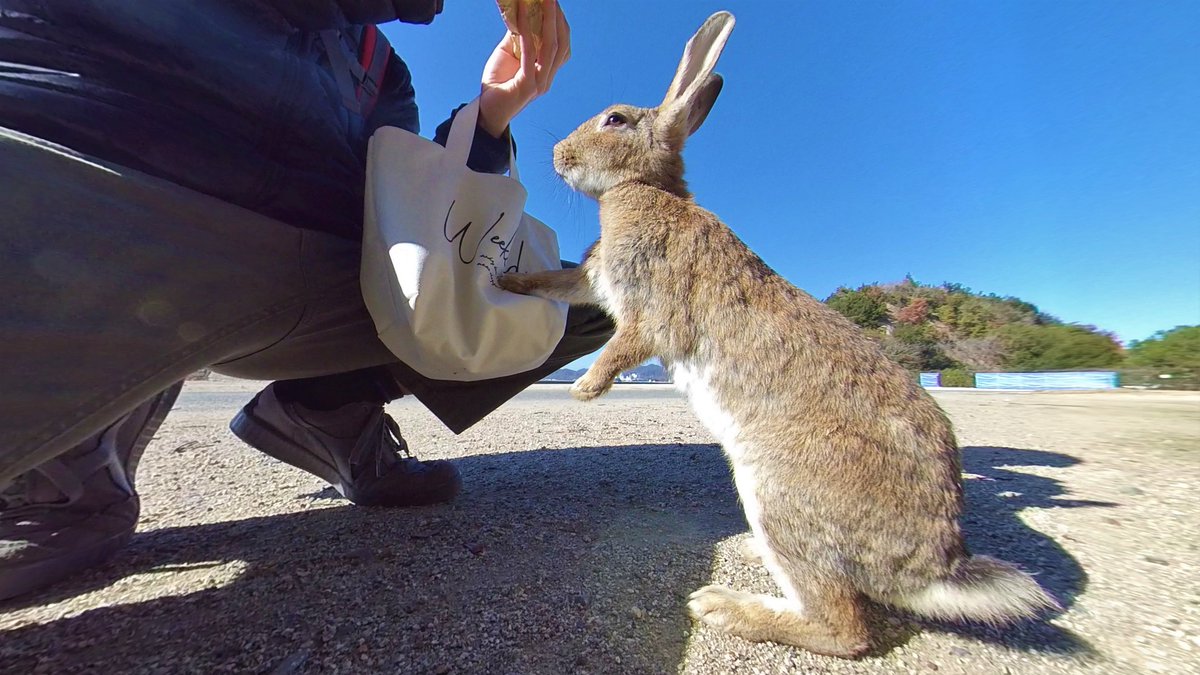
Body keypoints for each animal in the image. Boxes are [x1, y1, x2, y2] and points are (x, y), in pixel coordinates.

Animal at [496, 10, 1060, 653]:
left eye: (614, 119)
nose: (558, 154)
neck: (644, 188)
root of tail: (932, 569)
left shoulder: (652, 307)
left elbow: (627, 344)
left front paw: (583, 390)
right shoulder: (594, 282)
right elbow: (555, 284)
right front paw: (509, 282)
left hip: (780, 495)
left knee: (843, 628)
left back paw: (721, 606)